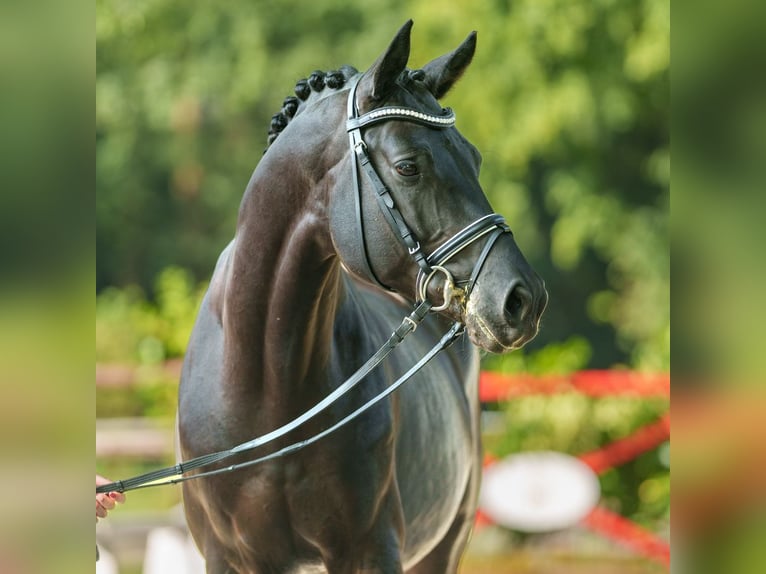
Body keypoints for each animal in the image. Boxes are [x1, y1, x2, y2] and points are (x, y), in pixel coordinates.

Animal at [178, 21, 552, 574]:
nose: (522, 299)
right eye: (408, 166)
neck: (266, 390)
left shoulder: (372, 551)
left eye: (475, 158)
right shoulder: (227, 557)